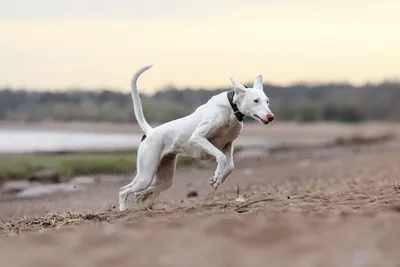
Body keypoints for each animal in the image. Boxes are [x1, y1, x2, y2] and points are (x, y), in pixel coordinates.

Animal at [119, 65, 276, 211]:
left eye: (267, 101)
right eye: (255, 101)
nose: (271, 117)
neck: (231, 108)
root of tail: (150, 132)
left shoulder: (228, 143)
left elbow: (230, 165)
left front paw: (218, 179)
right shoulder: (197, 138)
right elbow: (221, 157)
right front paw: (217, 176)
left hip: (164, 180)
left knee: (139, 192)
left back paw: (143, 202)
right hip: (146, 174)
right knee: (123, 191)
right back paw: (123, 210)